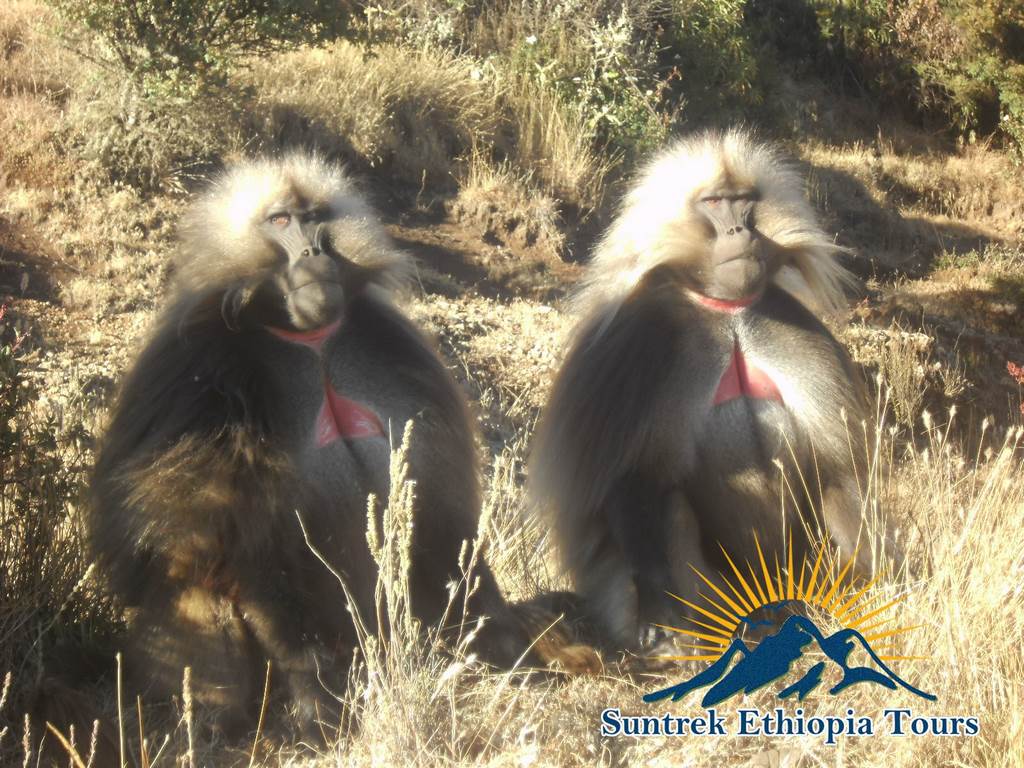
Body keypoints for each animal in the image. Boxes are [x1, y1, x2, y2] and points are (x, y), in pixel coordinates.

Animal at [88, 153, 537, 737]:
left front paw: (497, 635)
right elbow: (204, 540)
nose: (313, 253)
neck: (308, 339)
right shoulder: (193, 373)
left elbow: (439, 513)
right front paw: (311, 685)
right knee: (196, 580)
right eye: (280, 221)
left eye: (315, 217)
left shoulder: (393, 346)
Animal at [529, 129, 878, 651]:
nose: (739, 233)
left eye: (744, 200)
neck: (726, 311)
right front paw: (658, 618)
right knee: (670, 508)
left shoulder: (800, 332)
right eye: (713, 203)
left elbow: (840, 469)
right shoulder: (635, 343)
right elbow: (630, 480)